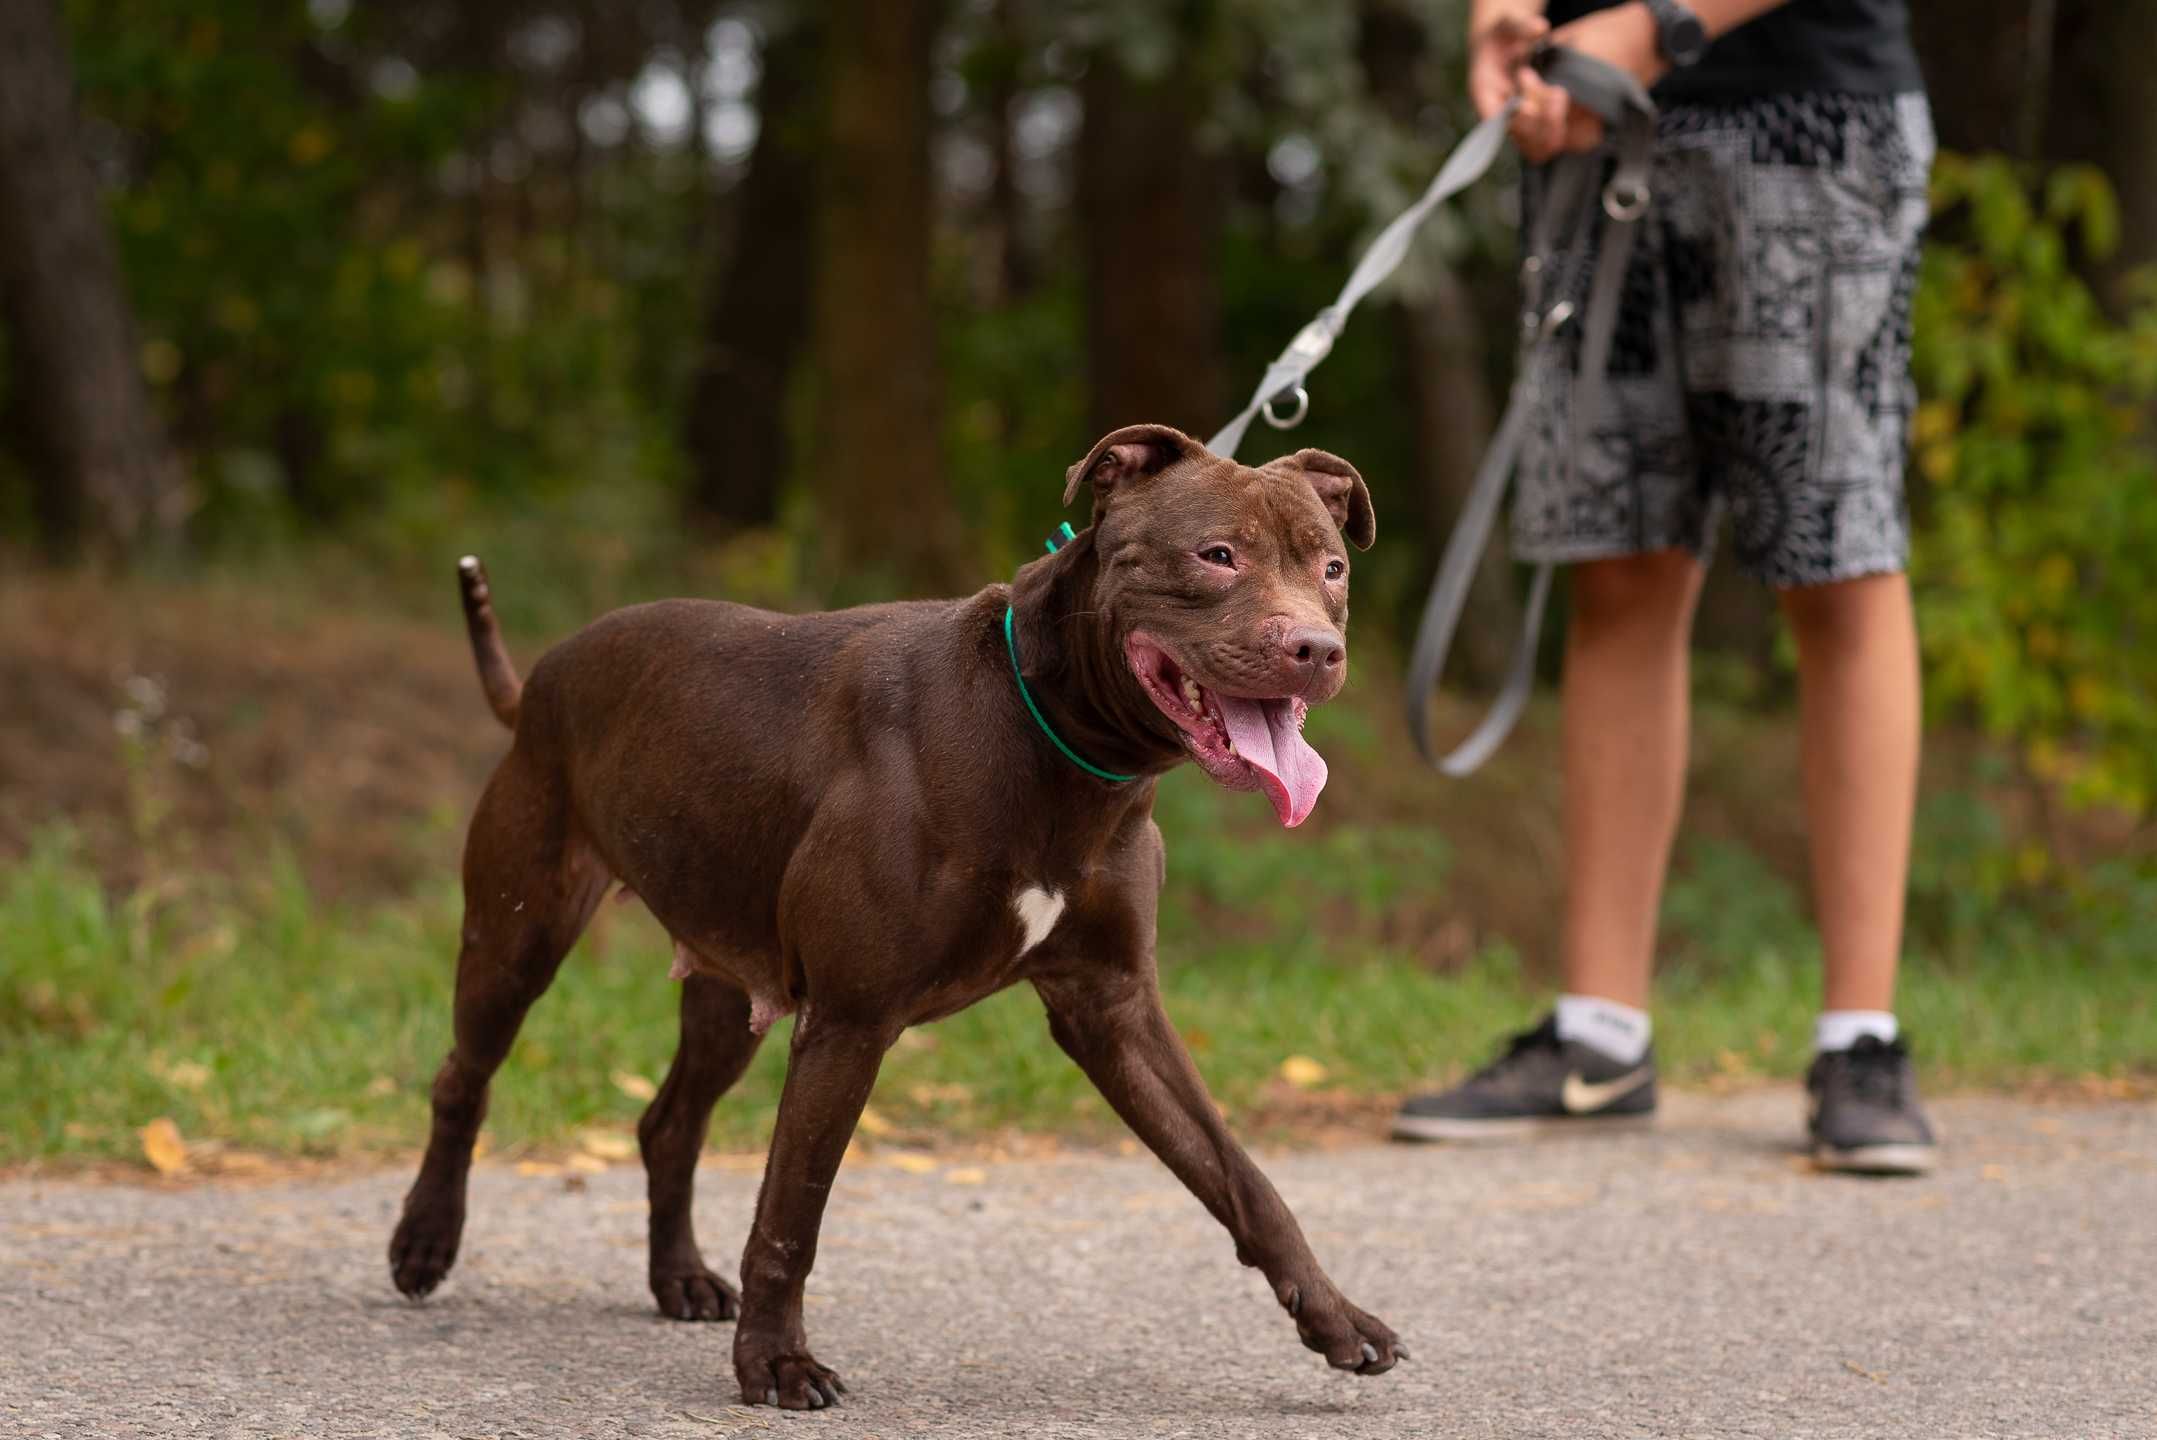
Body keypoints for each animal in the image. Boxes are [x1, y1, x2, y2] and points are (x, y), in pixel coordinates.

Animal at [386, 424, 1397, 1405]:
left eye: (1331, 568)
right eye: (1217, 555)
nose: (1316, 650)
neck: (1052, 740)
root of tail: (541, 674)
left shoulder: (1114, 1010)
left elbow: (1238, 1174)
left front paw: (1336, 1319)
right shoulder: (849, 1022)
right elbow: (792, 1208)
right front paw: (776, 1364)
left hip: (726, 983)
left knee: (669, 1123)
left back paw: (677, 1277)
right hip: (516, 936)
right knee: (463, 1078)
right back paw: (425, 1239)